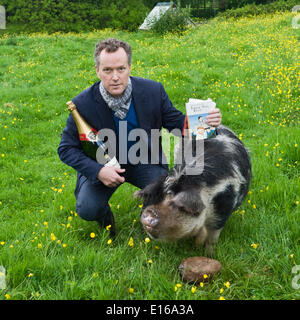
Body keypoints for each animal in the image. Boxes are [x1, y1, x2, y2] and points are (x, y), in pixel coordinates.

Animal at [135, 125, 252, 255]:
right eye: (162, 195)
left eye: (178, 206)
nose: (150, 212)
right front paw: (197, 247)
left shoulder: (223, 210)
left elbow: (212, 238)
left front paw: (208, 254)